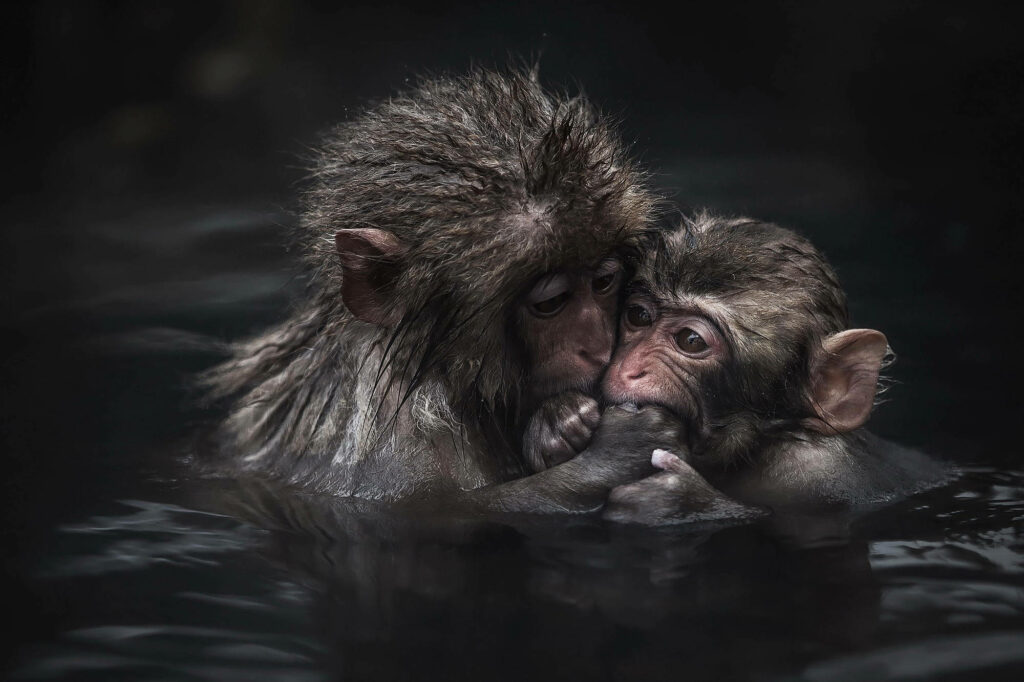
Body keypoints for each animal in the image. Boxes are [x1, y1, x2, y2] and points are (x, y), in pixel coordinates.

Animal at [199, 68, 683, 514]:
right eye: (551, 303)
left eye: (602, 283)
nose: (599, 347)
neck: (428, 365)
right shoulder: (404, 434)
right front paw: (609, 448)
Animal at [534, 212, 946, 523]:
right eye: (638, 316)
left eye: (691, 340)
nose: (631, 368)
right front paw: (560, 420)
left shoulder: (812, 471)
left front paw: (676, 500)